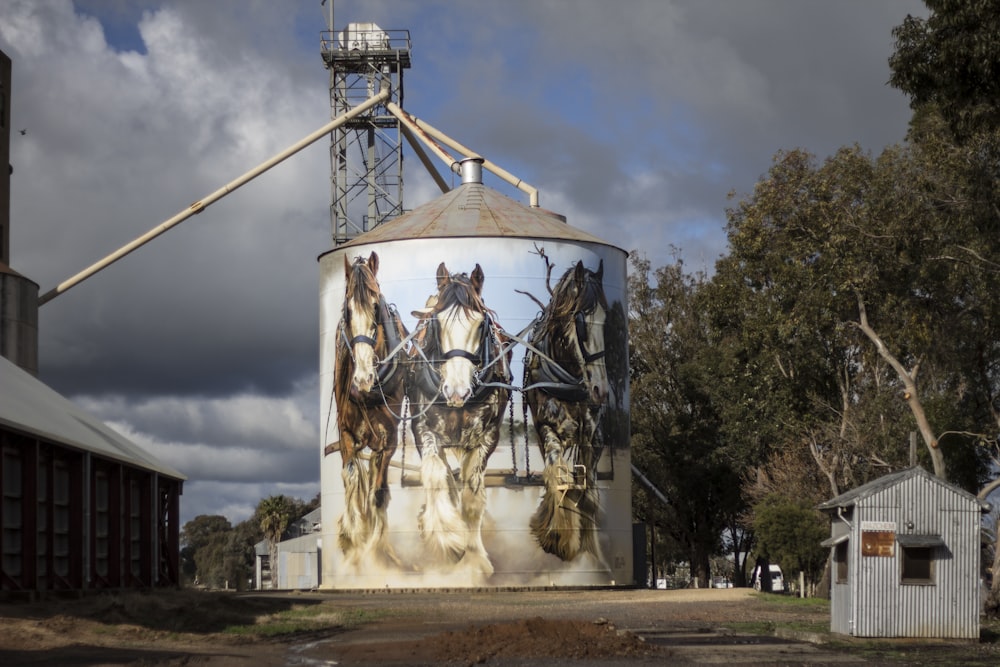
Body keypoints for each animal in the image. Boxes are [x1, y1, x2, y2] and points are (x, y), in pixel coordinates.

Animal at [406, 264, 512, 576]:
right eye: (436, 323)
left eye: (480, 323)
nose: (457, 391)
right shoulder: (423, 429)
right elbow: (436, 476)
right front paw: (447, 537)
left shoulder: (486, 437)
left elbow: (473, 496)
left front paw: (475, 559)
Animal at [524, 258, 608, 568]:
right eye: (581, 321)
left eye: (607, 320)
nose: (601, 389)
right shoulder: (546, 427)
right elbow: (558, 478)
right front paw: (557, 536)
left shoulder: (592, 432)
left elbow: (589, 494)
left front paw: (592, 551)